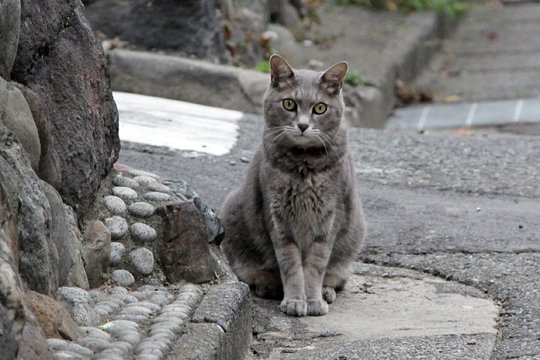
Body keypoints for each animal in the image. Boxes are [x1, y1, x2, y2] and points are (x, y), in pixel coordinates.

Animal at [219, 54, 368, 316]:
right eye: (289, 104)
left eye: (320, 108)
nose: (303, 125)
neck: (303, 163)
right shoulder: (277, 217)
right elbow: (291, 264)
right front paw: (296, 300)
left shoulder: (330, 218)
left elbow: (315, 266)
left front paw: (313, 300)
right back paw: (267, 285)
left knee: (336, 277)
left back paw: (326, 291)